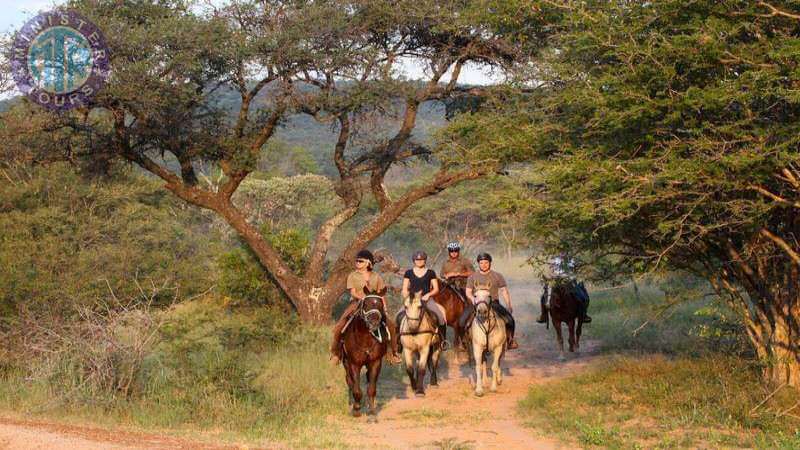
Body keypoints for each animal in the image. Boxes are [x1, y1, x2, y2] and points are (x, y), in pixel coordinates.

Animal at [340, 286, 390, 420]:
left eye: (380, 304)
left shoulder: (375, 362)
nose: (373, 323)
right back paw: (351, 404)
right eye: (366, 304)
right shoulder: (354, 364)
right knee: (349, 381)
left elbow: (371, 388)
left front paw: (372, 413)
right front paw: (356, 410)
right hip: (346, 362)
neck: (365, 339)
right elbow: (356, 390)